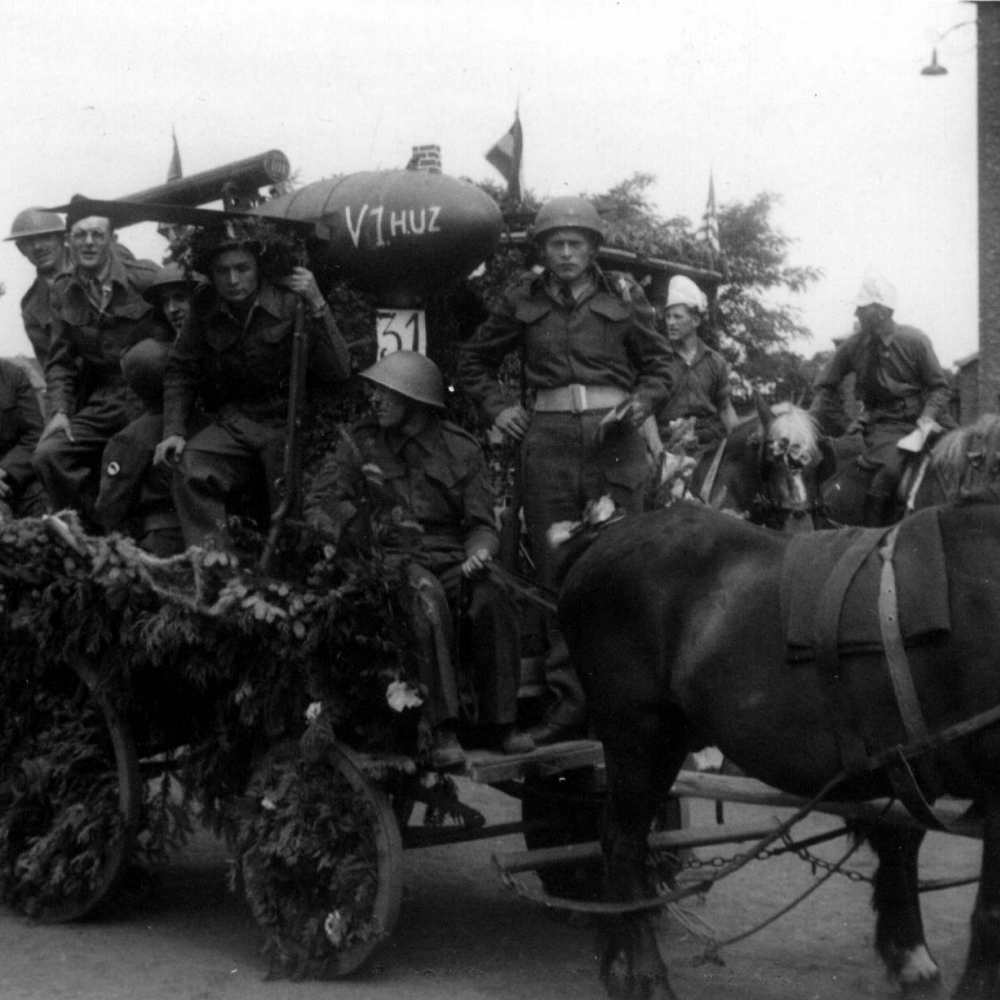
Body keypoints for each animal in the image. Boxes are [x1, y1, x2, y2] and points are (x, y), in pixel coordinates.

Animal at [560, 504, 1000, 1000]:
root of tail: (602, 538)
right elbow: (990, 911)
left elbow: (902, 844)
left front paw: (910, 956)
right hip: (639, 734)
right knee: (623, 844)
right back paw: (648, 977)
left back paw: (620, 964)